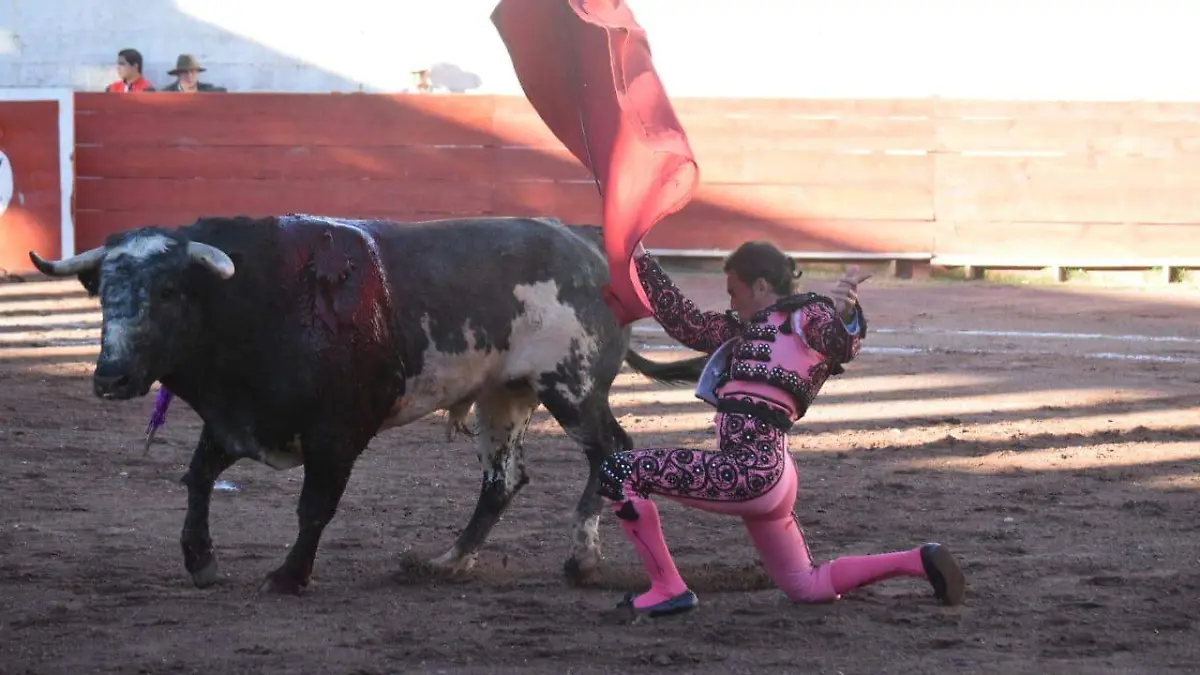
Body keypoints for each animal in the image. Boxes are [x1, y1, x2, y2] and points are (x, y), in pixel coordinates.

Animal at [29, 214, 704, 595]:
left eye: (168, 290)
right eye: (102, 294)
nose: (111, 377)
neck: (256, 297)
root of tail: (588, 241)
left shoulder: (337, 434)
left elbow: (314, 508)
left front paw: (289, 576)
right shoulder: (238, 421)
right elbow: (196, 478)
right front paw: (200, 560)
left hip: (573, 387)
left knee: (611, 451)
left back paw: (582, 559)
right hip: (505, 394)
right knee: (504, 480)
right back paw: (448, 561)